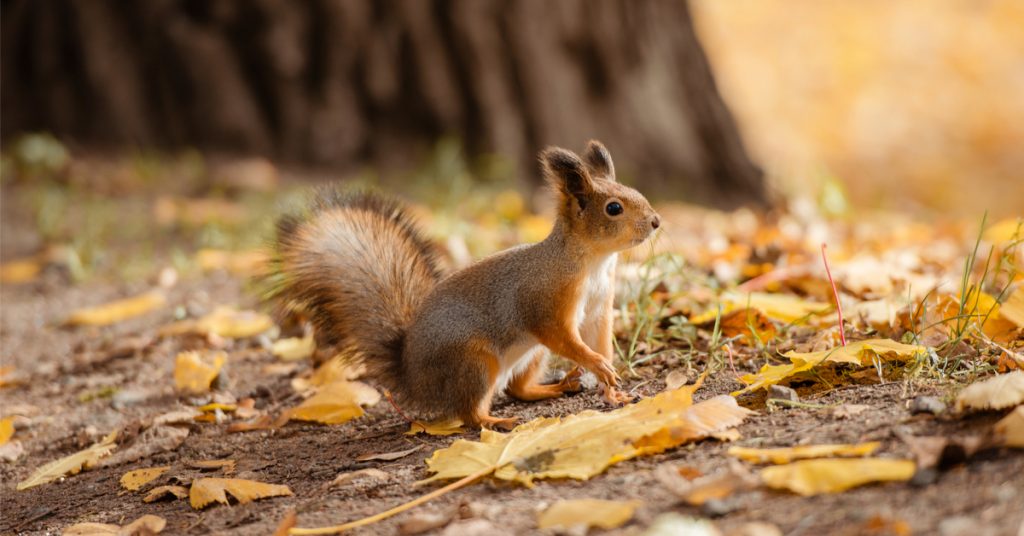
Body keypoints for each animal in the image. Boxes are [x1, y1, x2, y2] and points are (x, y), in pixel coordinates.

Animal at [268, 140, 659, 430]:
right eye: (613, 208)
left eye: (635, 191)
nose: (656, 221)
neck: (594, 262)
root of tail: (416, 380)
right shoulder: (545, 301)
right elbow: (562, 336)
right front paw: (598, 366)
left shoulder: (598, 308)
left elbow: (599, 337)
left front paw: (612, 386)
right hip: (473, 361)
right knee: (469, 414)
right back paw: (497, 421)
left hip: (530, 354)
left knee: (517, 388)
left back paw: (555, 387)